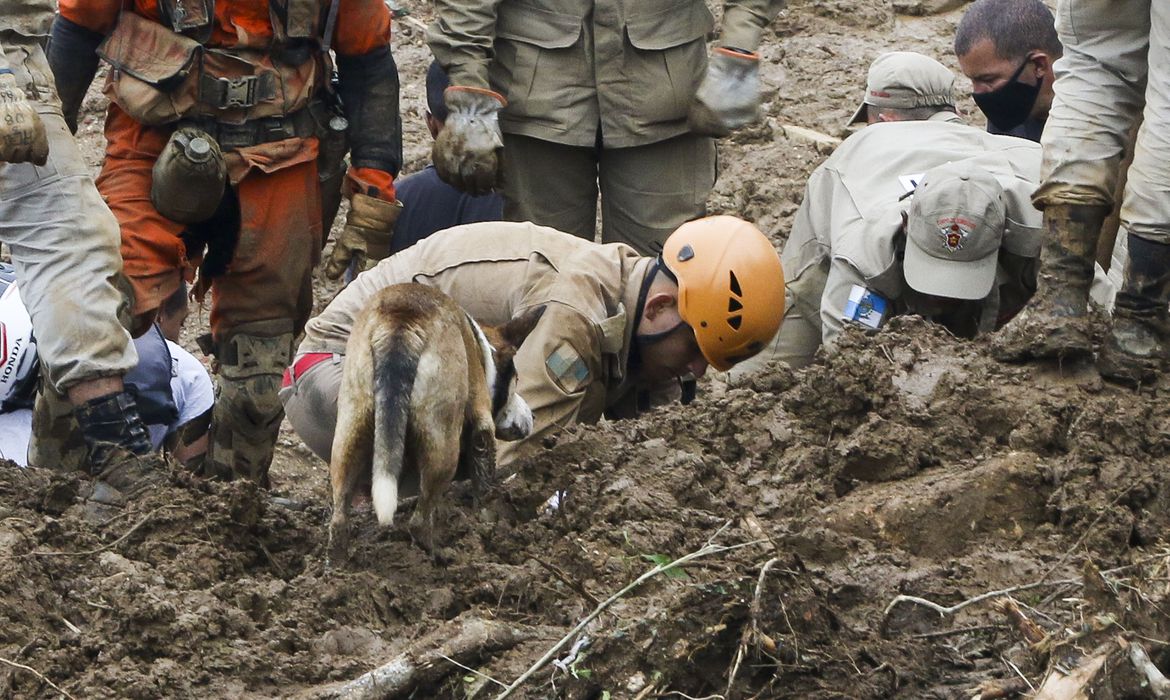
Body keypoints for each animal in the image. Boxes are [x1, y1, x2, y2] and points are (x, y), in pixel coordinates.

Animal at [329, 282, 542, 561]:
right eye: (516, 382)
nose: (533, 416)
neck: (482, 350)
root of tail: (402, 322)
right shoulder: (482, 426)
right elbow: (483, 481)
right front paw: (485, 521)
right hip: (443, 444)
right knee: (418, 522)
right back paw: (440, 555)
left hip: (350, 430)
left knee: (339, 519)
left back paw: (336, 566)